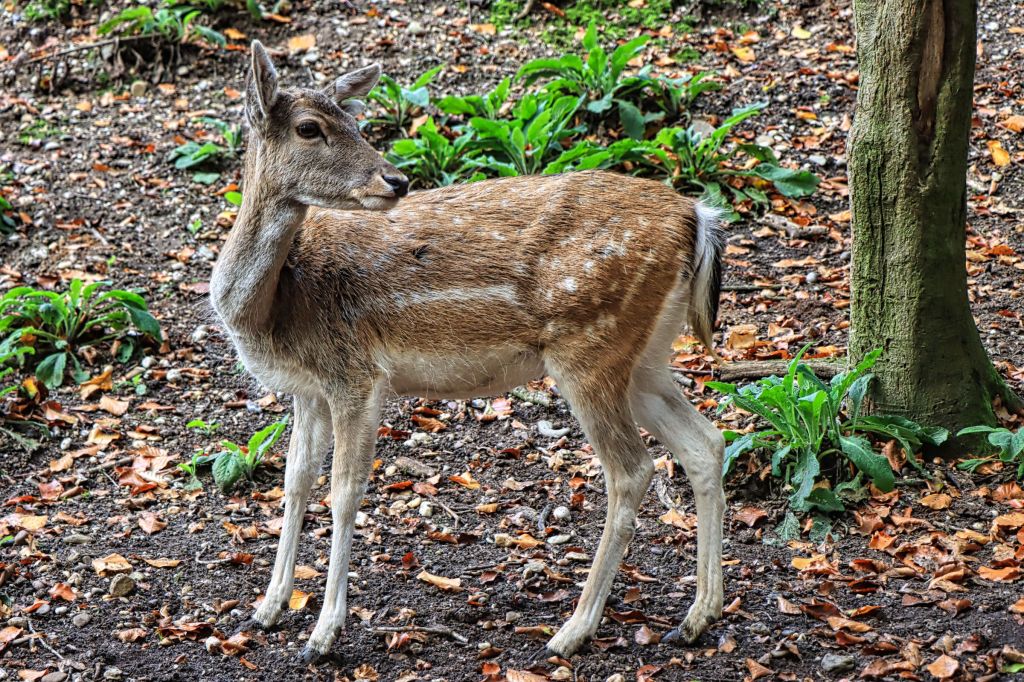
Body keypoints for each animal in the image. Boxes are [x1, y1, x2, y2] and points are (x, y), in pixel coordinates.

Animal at [210, 40, 727, 664]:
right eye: (310, 127)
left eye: (356, 122)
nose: (395, 179)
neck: (274, 308)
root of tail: (699, 219)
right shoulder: (307, 389)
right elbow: (294, 482)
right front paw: (267, 608)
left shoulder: (356, 374)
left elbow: (344, 491)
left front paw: (322, 635)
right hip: (645, 356)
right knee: (705, 443)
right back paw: (697, 617)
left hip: (590, 345)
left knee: (632, 469)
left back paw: (573, 631)